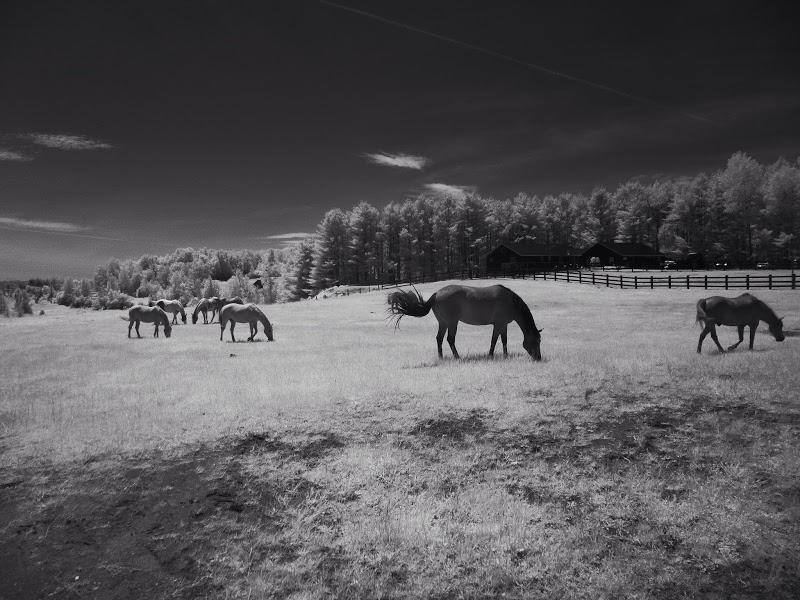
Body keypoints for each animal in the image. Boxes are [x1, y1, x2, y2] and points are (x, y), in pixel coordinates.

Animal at [388, 284, 542, 360]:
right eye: (536, 341)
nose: (538, 358)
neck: (510, 301)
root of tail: (436, 294)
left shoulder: (503, 325)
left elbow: (504, 340)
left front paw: (505, 356)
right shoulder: (498, 324)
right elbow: (494, 340)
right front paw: (490, 356)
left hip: (443, 323)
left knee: (439, 339)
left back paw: (441, 357)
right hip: (452, 323)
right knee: (450, 339)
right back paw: (457, 357)